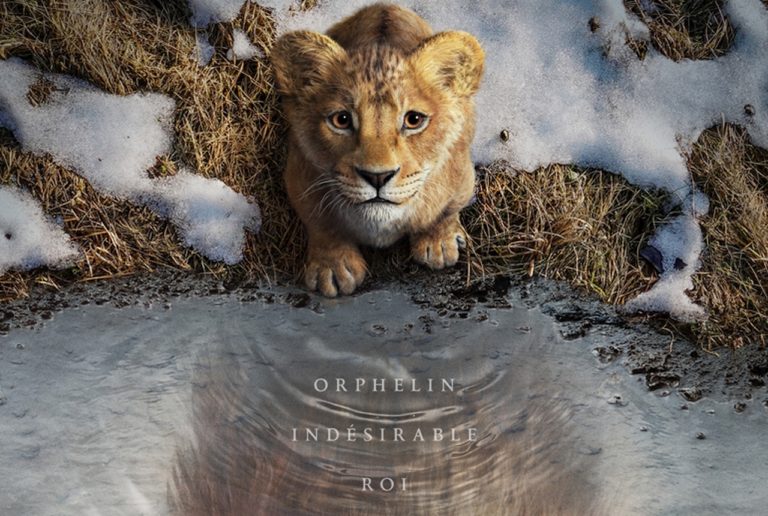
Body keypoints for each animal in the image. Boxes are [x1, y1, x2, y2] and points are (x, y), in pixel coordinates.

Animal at [271, 3, 484, 297]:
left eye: (414, 120)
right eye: (341, 120)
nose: (377, 177)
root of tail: (384, 5)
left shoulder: (462, 176)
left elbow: (445, 211)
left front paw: (438, 243)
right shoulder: (299, 176)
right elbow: (321, 223)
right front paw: (333, 268)